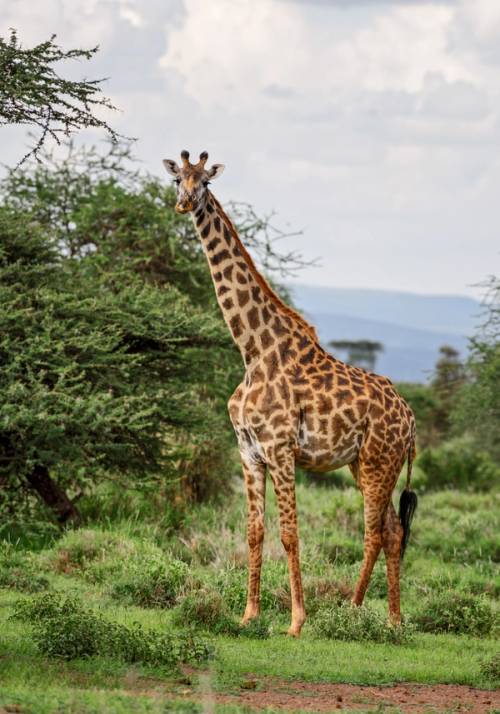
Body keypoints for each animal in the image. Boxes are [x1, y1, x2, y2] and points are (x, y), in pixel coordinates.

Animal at [163, 150, 418, 637]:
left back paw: (353, 611)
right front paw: (248, 614)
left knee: (374, 531)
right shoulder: (248, 452)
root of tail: (411, 419)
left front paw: (297, 621)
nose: (184, 204)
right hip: (366, 464)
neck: (253, 350)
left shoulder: (281, 448)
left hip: (378, 462)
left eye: (204, 181)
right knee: (394, 530)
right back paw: (393, 620)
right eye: (176, 179)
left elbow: (289, 533)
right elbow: (254, 532)